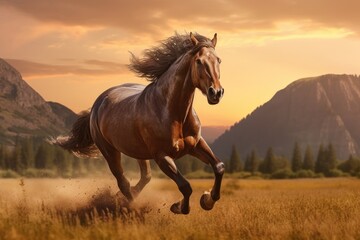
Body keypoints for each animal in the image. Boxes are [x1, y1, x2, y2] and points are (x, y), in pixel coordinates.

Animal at [55, 32, 225, 214]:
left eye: (219, 60)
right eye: (198, 61)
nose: (216, 92)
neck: (172, 112)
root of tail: (97, 104)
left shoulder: (196, 144)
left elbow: (219, 167)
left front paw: (207, 200)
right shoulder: (162, 156)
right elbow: (185, 186)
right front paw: (179, 207)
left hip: (139, 152)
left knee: (145, 177)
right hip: (110, 151)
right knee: (123, 181)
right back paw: (130, 205)